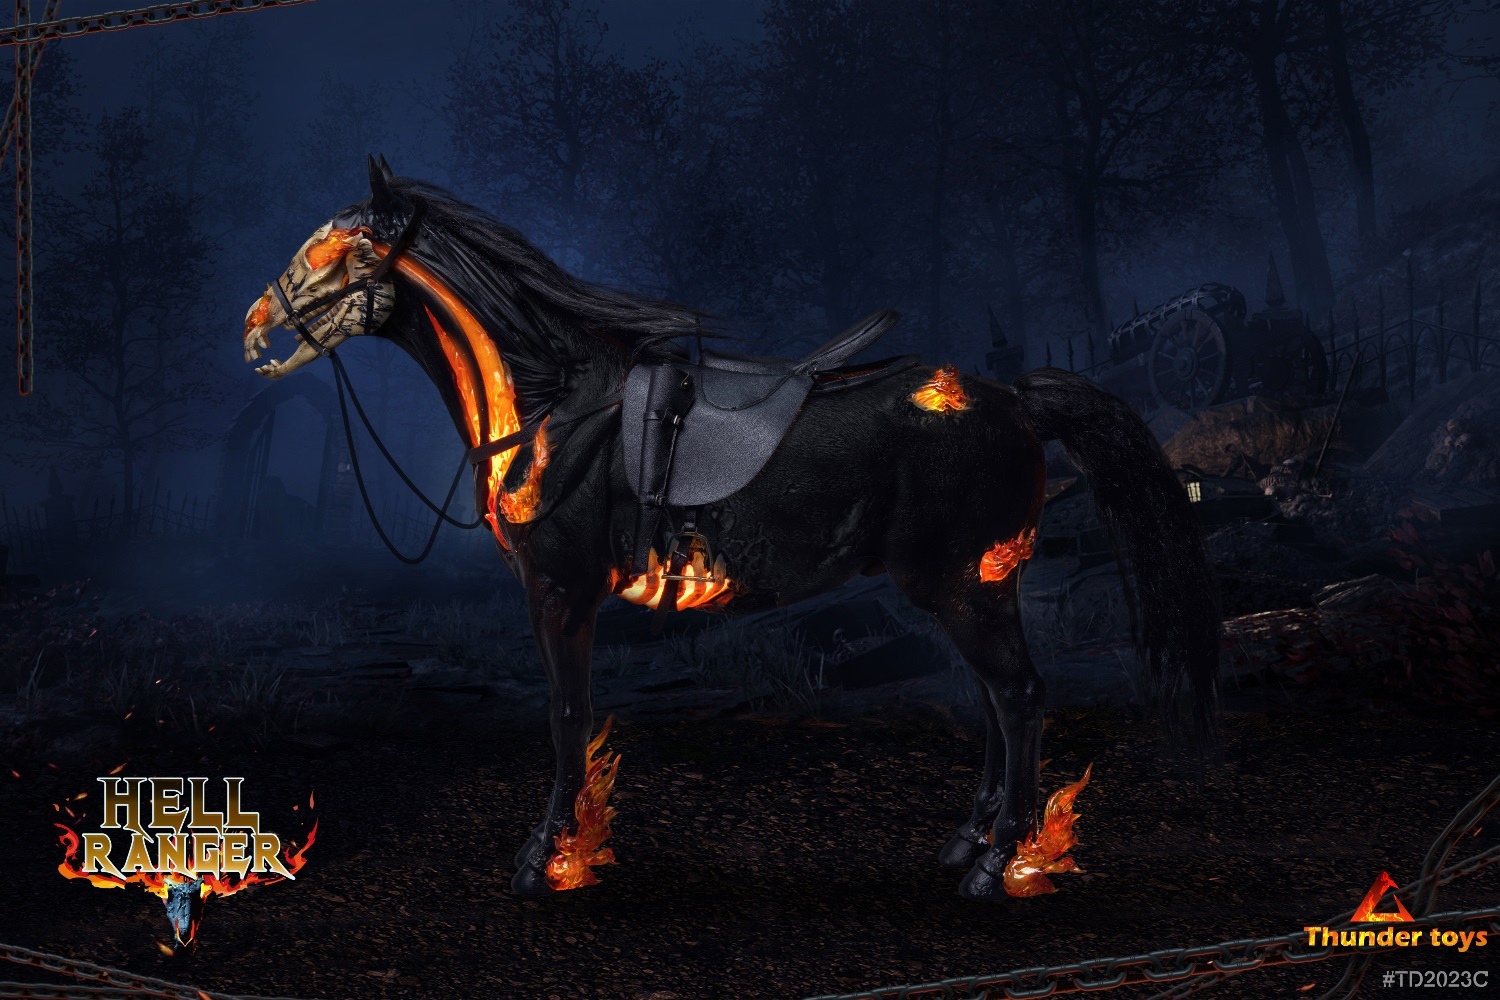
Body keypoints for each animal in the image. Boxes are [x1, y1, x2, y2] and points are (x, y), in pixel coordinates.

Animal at [241, 157, 1220, 902]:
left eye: (340, 246)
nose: (253, 329)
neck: (558, 402)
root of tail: (1015, 399)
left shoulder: (560, 594)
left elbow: (566, 715)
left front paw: (543, 858)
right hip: (973, 587)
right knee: (993, 701)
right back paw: (968, 846)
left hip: (966, 586)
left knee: (1017, 697)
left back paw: (997, 866)